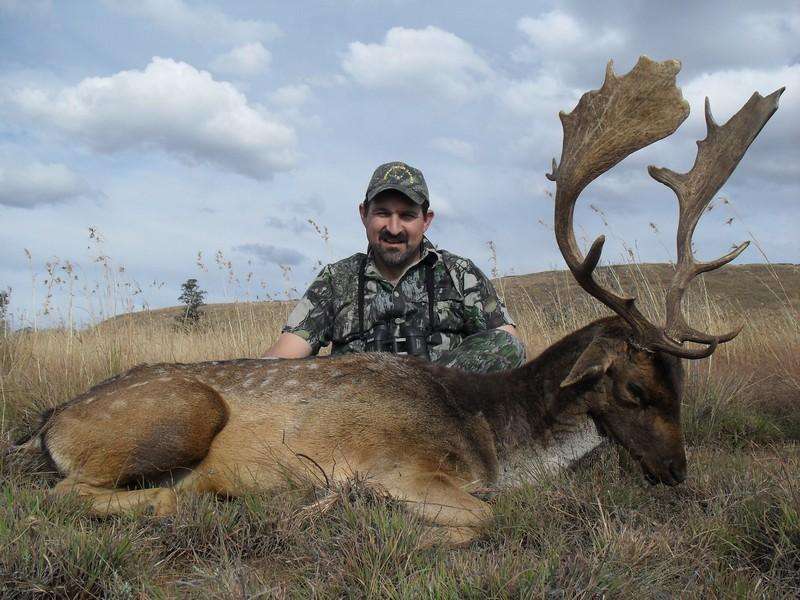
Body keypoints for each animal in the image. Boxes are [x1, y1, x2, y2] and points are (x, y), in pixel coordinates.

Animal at [10, 57, 783, 546]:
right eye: (632, 388)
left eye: (681, 384)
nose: (676, 471)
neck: (492, 439)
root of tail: (48, 423)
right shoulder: (402, 466)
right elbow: (484, 519)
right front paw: (334, 509)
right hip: (180, 412)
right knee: (70, 496)